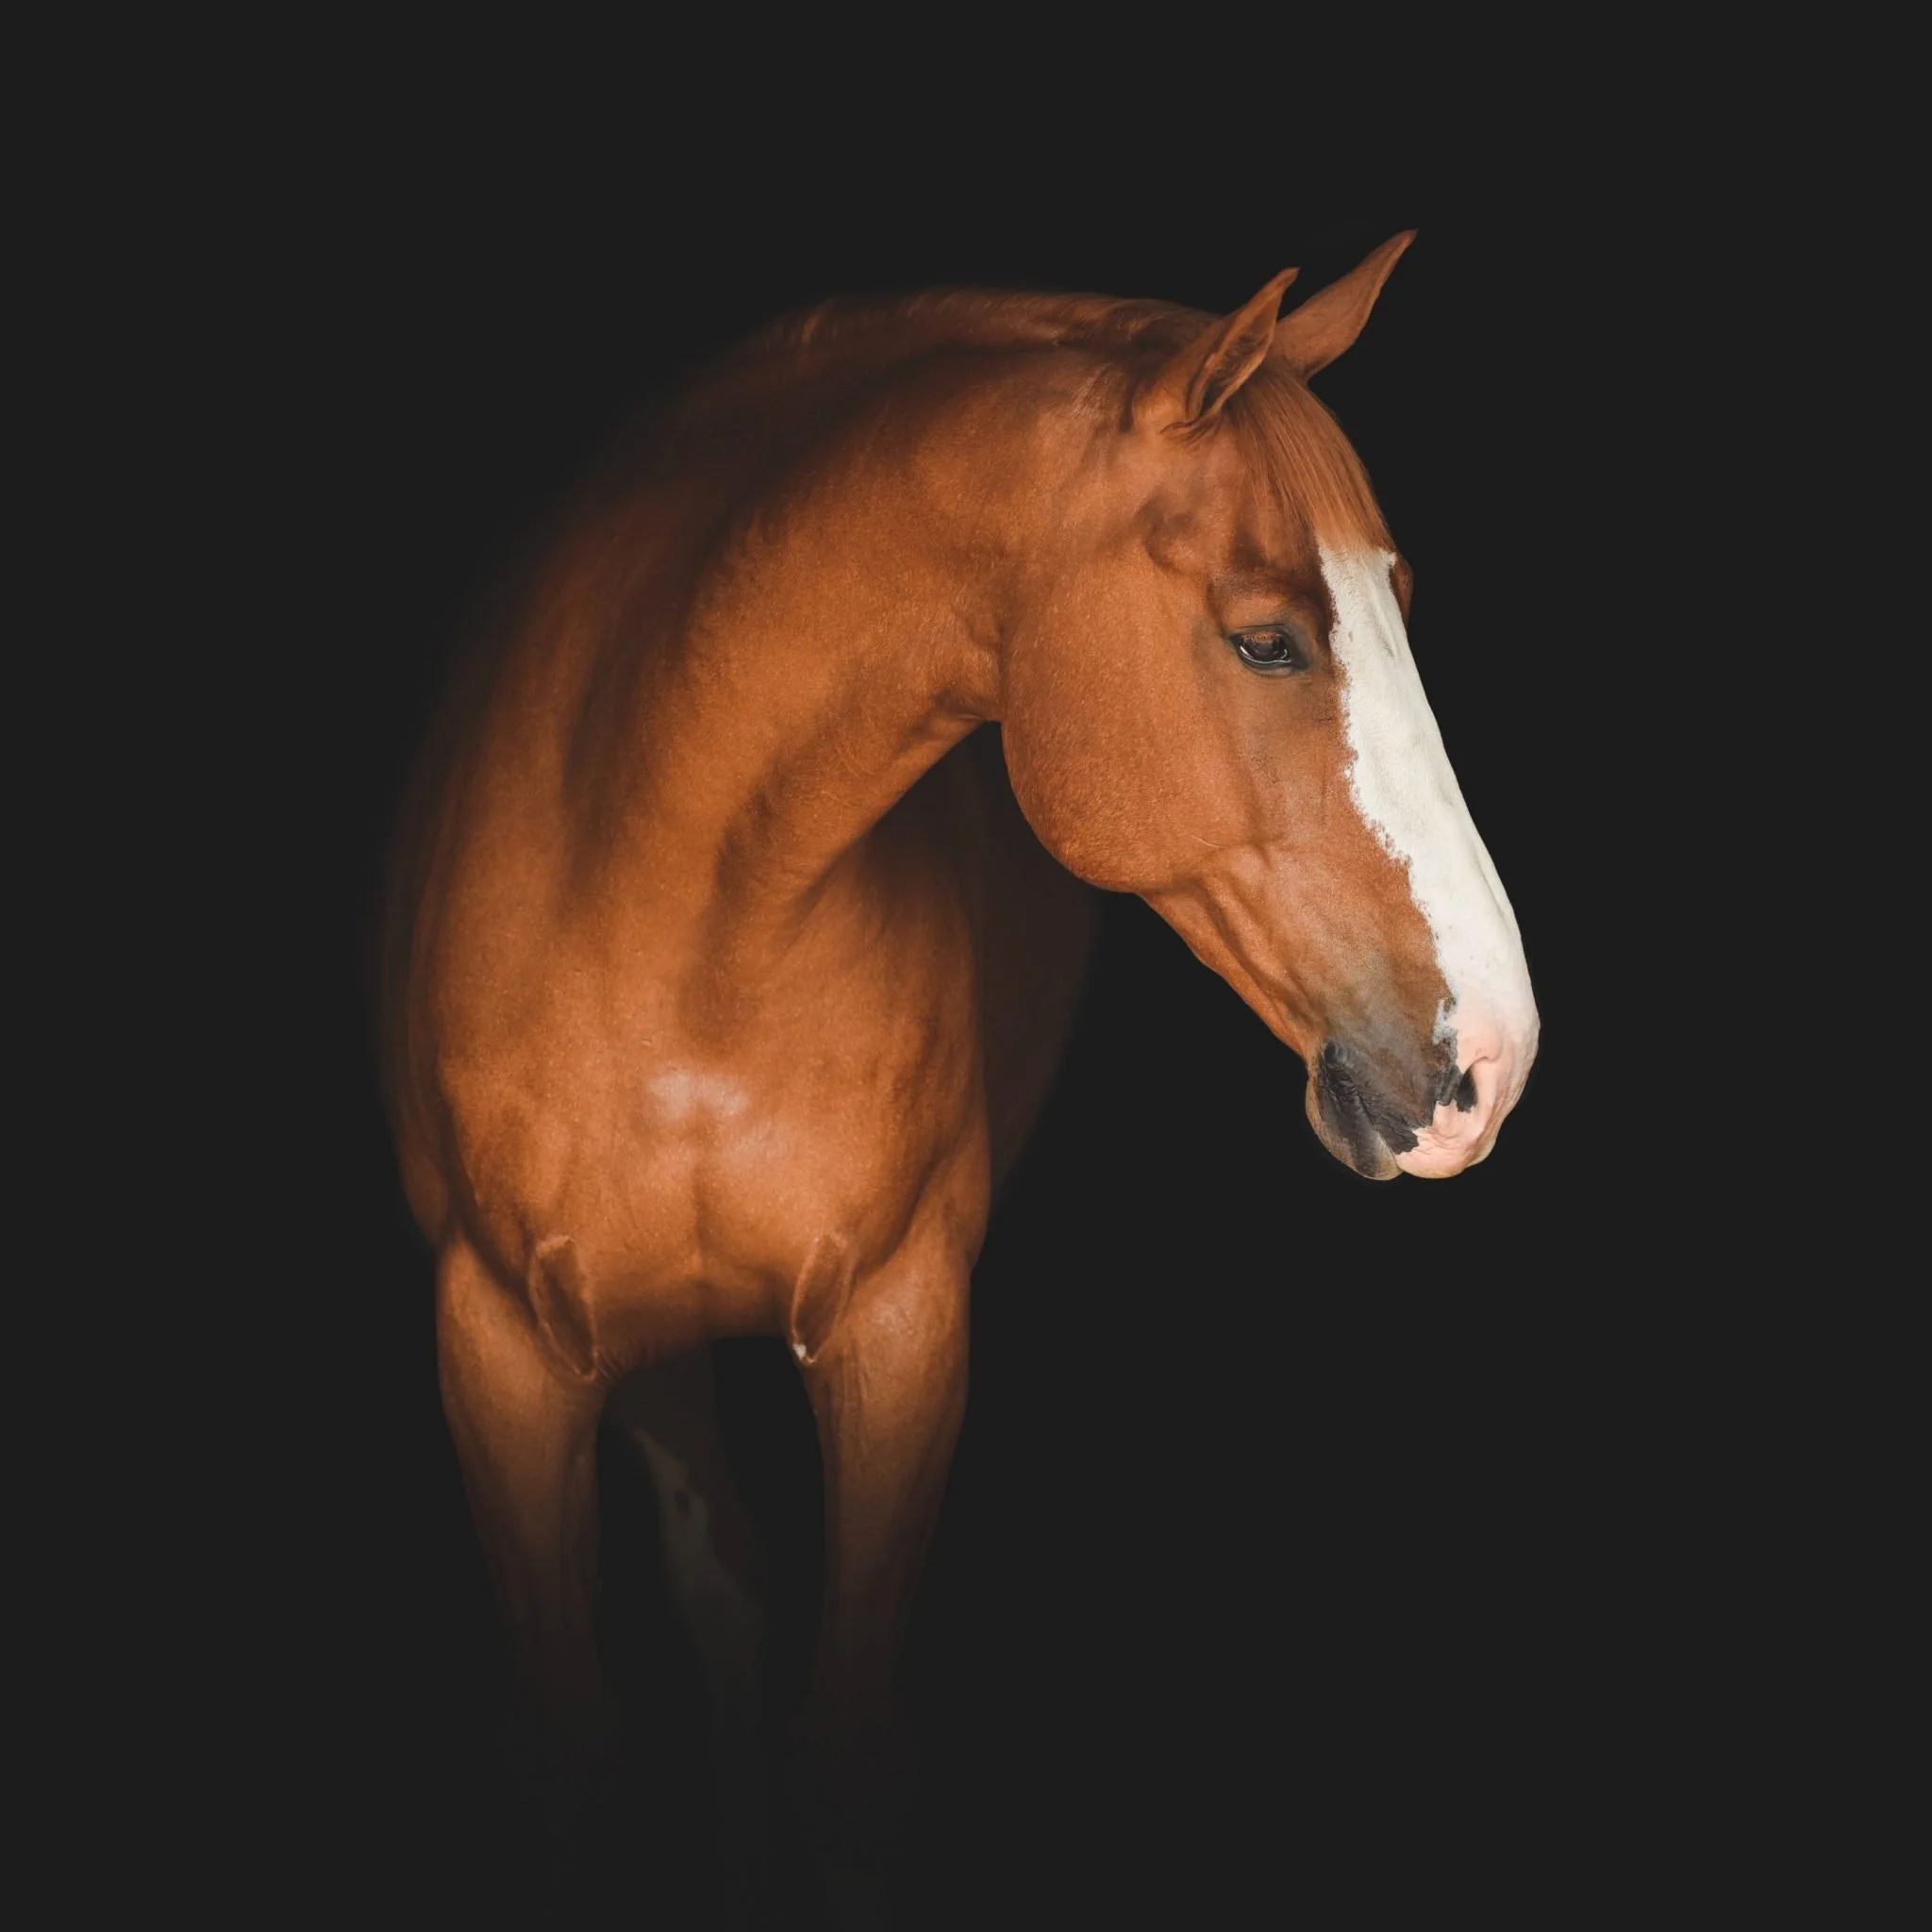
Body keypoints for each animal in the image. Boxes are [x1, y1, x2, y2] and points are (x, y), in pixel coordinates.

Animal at [379, 231, 1538, 1921]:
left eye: (1398, 603)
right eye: (1267, 637)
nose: (1490, 1062)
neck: (680, 914)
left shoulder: (901, 1324)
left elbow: (848, 1750)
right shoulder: (505, 1349)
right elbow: (576, 1739)